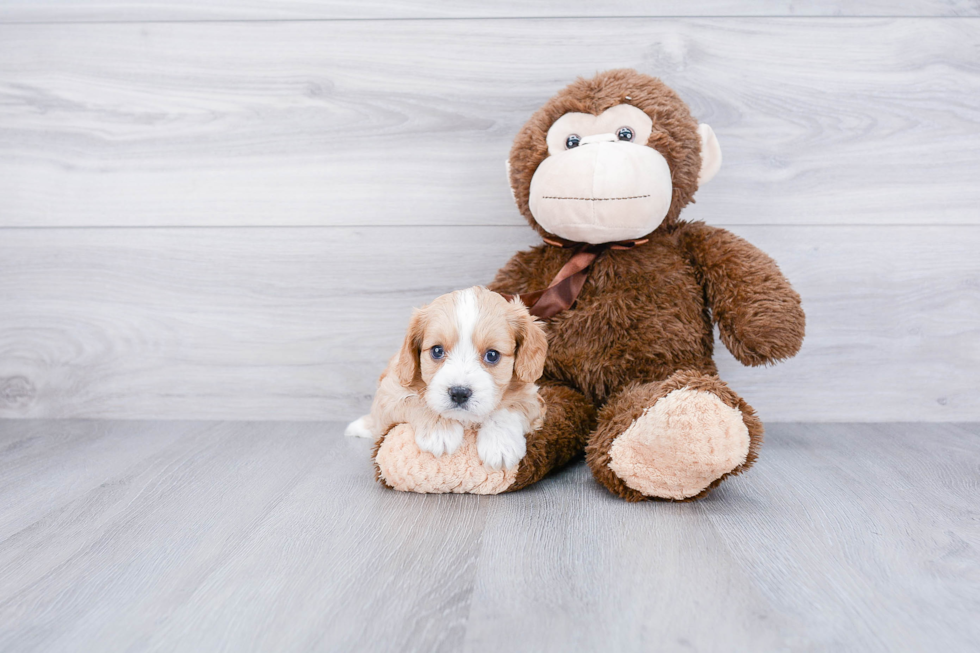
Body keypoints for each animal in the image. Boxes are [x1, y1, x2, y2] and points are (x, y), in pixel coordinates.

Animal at [344, 286, 548, 468]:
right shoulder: (389, 393)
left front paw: (500, 445)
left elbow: (509, 408)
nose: (459, 393)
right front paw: (440, 430)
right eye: (437, 351)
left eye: (492, 355)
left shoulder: (534, 401)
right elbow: (415, 399)